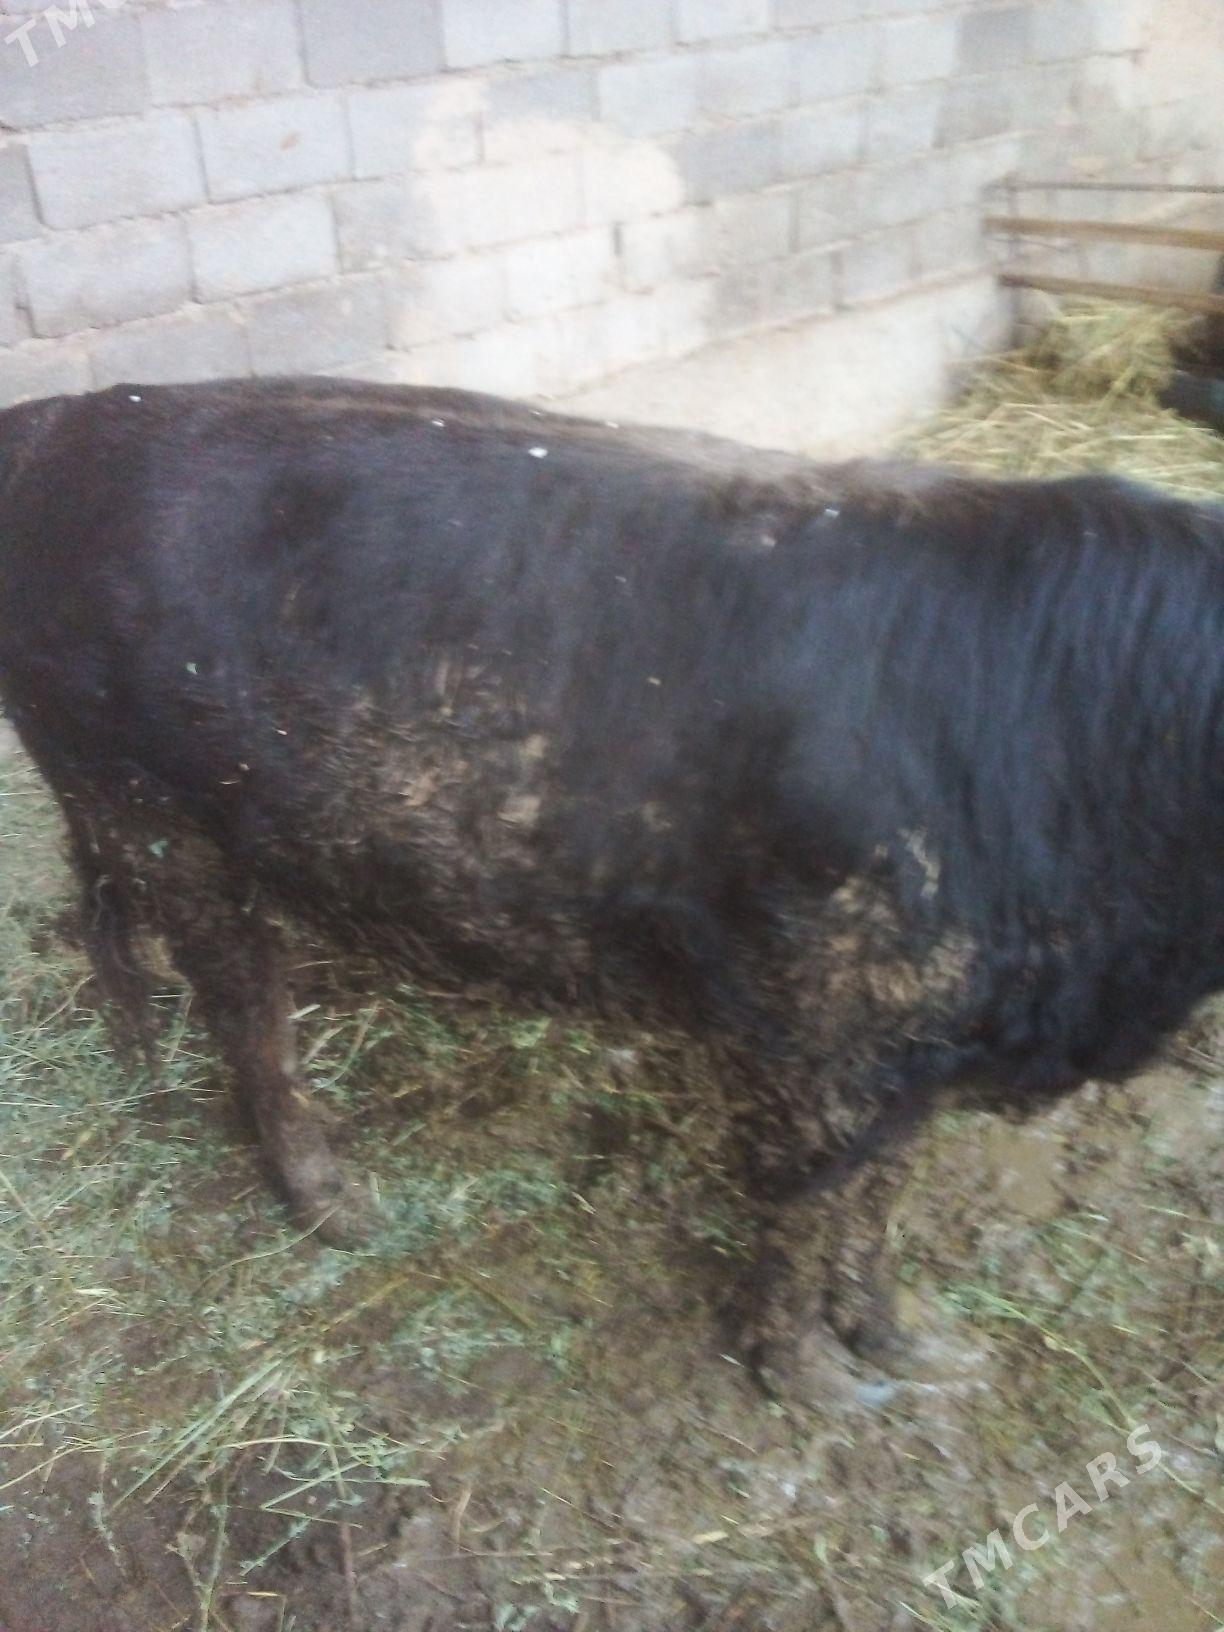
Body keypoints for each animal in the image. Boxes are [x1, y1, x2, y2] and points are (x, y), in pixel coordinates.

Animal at [2, 377, 1222, 1395]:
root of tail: (56, 417)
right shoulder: (823, 1033)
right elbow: (808, 1205)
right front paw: (808, 1380)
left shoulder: (915, 1048)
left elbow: (881, 1196)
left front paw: (916, 1346)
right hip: (154, 812)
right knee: (247, 1010)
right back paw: (335, 1201)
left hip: (119, 811)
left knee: (117, 929)